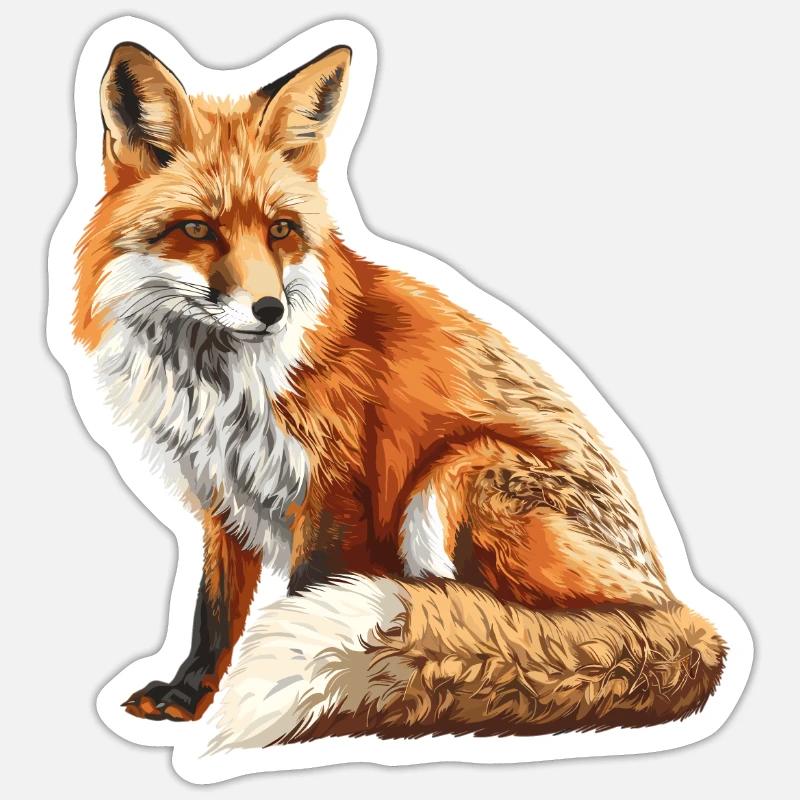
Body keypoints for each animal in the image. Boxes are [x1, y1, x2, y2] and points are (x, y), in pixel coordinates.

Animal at [73, 41, 725, 739]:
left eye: (281, 230)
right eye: (197, 230)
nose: (270, 310)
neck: (220, 382)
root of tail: (677, 604)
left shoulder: (334, 492)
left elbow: (306, 595)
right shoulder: (225, 494)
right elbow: (213, 613)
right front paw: (189, 695)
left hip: (457, 476)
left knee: (530, 622)